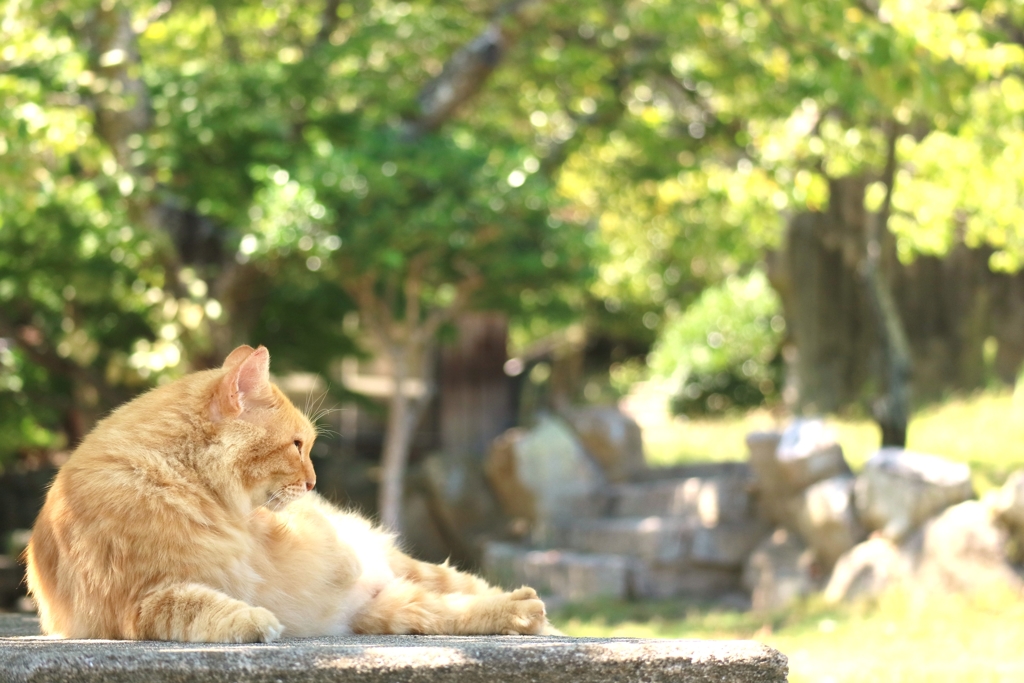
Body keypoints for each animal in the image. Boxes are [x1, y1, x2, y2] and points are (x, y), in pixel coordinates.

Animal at [25, 348, 552, 643]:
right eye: (298, 445)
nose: (315, 483)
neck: (176, 481)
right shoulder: (143, 600)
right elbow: (203, 606)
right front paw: (256, 620)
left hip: (405, 571)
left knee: (471, 587)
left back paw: (529, 604)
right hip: (399, 610)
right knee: (461, 609)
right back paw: (526, 611)